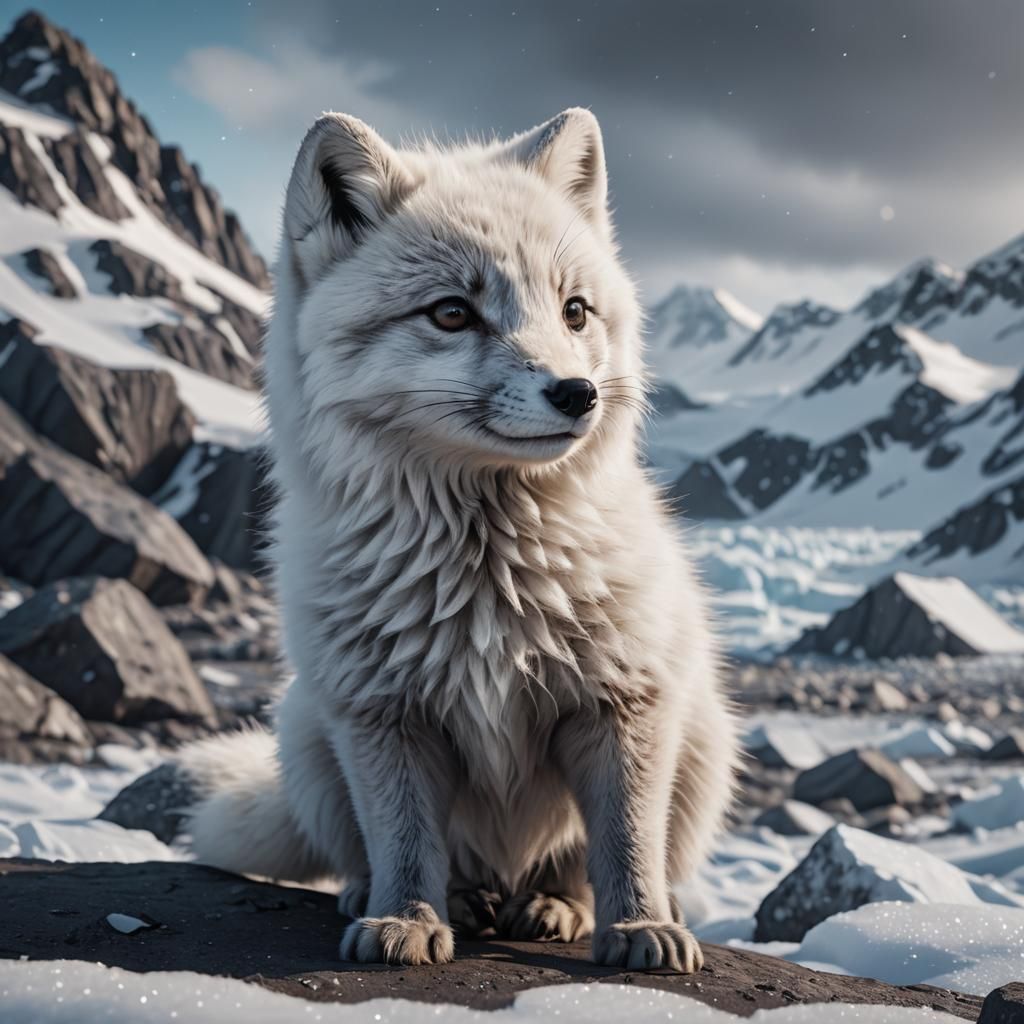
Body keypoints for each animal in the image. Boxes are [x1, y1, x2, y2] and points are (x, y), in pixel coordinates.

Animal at [180, 107, 739, 972]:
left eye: (575, 311)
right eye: (451, 313)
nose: (577, 394)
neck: (487, 576)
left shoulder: (621, 702)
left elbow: (623, 844)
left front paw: (639, 928)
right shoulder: (383, 714)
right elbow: (404, 842)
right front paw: (405, 919)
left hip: (704, 739)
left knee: (570, 869)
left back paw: (555, 908)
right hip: (306, 732)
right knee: (377, 854)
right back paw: (422, 898)